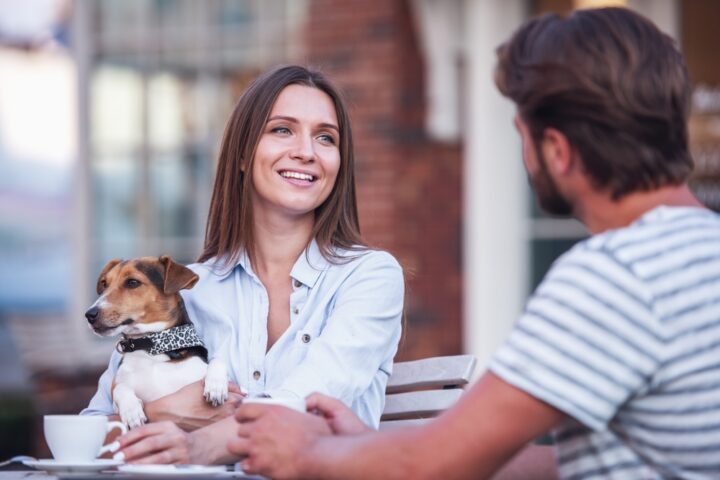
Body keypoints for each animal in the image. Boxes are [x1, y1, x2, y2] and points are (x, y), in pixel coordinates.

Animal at [86, 255, 228, 428]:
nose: (89, 314)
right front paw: (131, 411)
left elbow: (217, 361)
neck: (151, 348)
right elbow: (120, 388)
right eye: (105, 284)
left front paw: (216, 386)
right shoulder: (119, 385)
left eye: (132, 282)